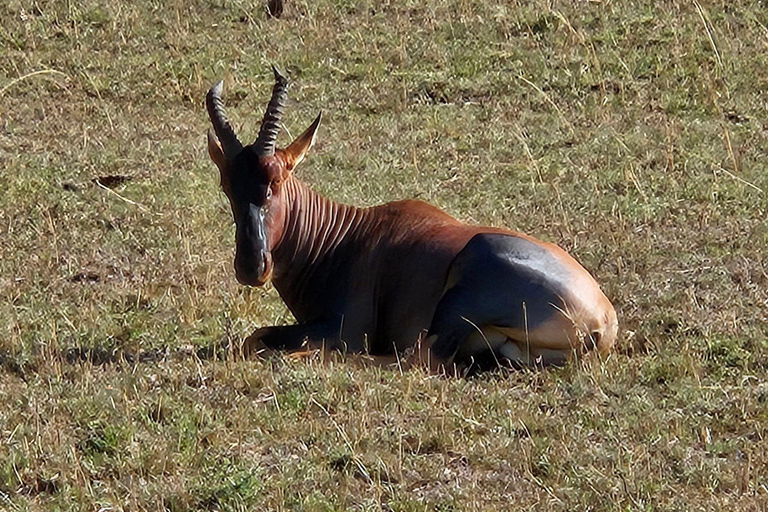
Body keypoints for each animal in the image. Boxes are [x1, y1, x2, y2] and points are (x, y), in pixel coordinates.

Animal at [207, 67, 620, 372]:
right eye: (227, 185)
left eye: (276, 181)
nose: (252, 266)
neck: (345, 238)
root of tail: (603, 318)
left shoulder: (346, 328)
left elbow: (258, 339)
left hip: (462, 295)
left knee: (414, 358)